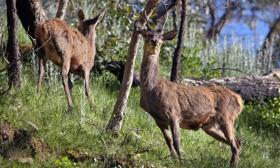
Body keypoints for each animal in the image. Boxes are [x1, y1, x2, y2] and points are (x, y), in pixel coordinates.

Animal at [138, 25, 243, 167]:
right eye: (147, 34)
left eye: (161, 37)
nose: (155, 41)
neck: (152, 89)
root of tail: (239, 100)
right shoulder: (158, 119)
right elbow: (168, 141)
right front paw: (173, 160)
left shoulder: (173, 113)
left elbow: (177, 142)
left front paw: (180, 162)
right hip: (209, 126)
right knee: (237, 143)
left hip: (226, 116)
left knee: (235, 144)